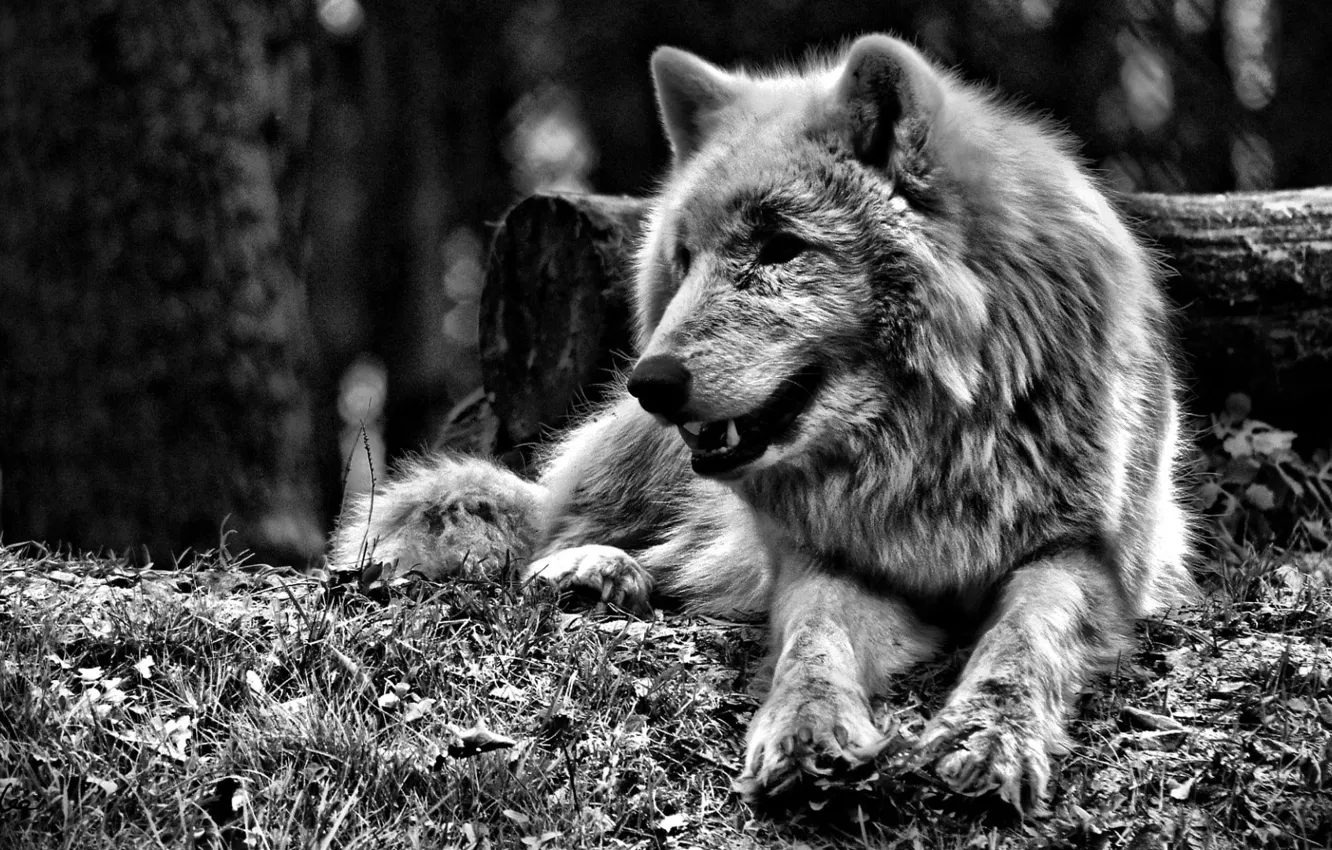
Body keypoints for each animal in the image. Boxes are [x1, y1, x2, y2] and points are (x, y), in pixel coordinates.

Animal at [330, 34, 1195, 814]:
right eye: (684, 259)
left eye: (782, 248)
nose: (651, 381)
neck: (927, 452)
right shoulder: (825, 560)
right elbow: (812, 642)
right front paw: (806, 733)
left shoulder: (1086, 559)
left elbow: (1025, 638)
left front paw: (990, 737)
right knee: (552, 528)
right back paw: (591, 570)